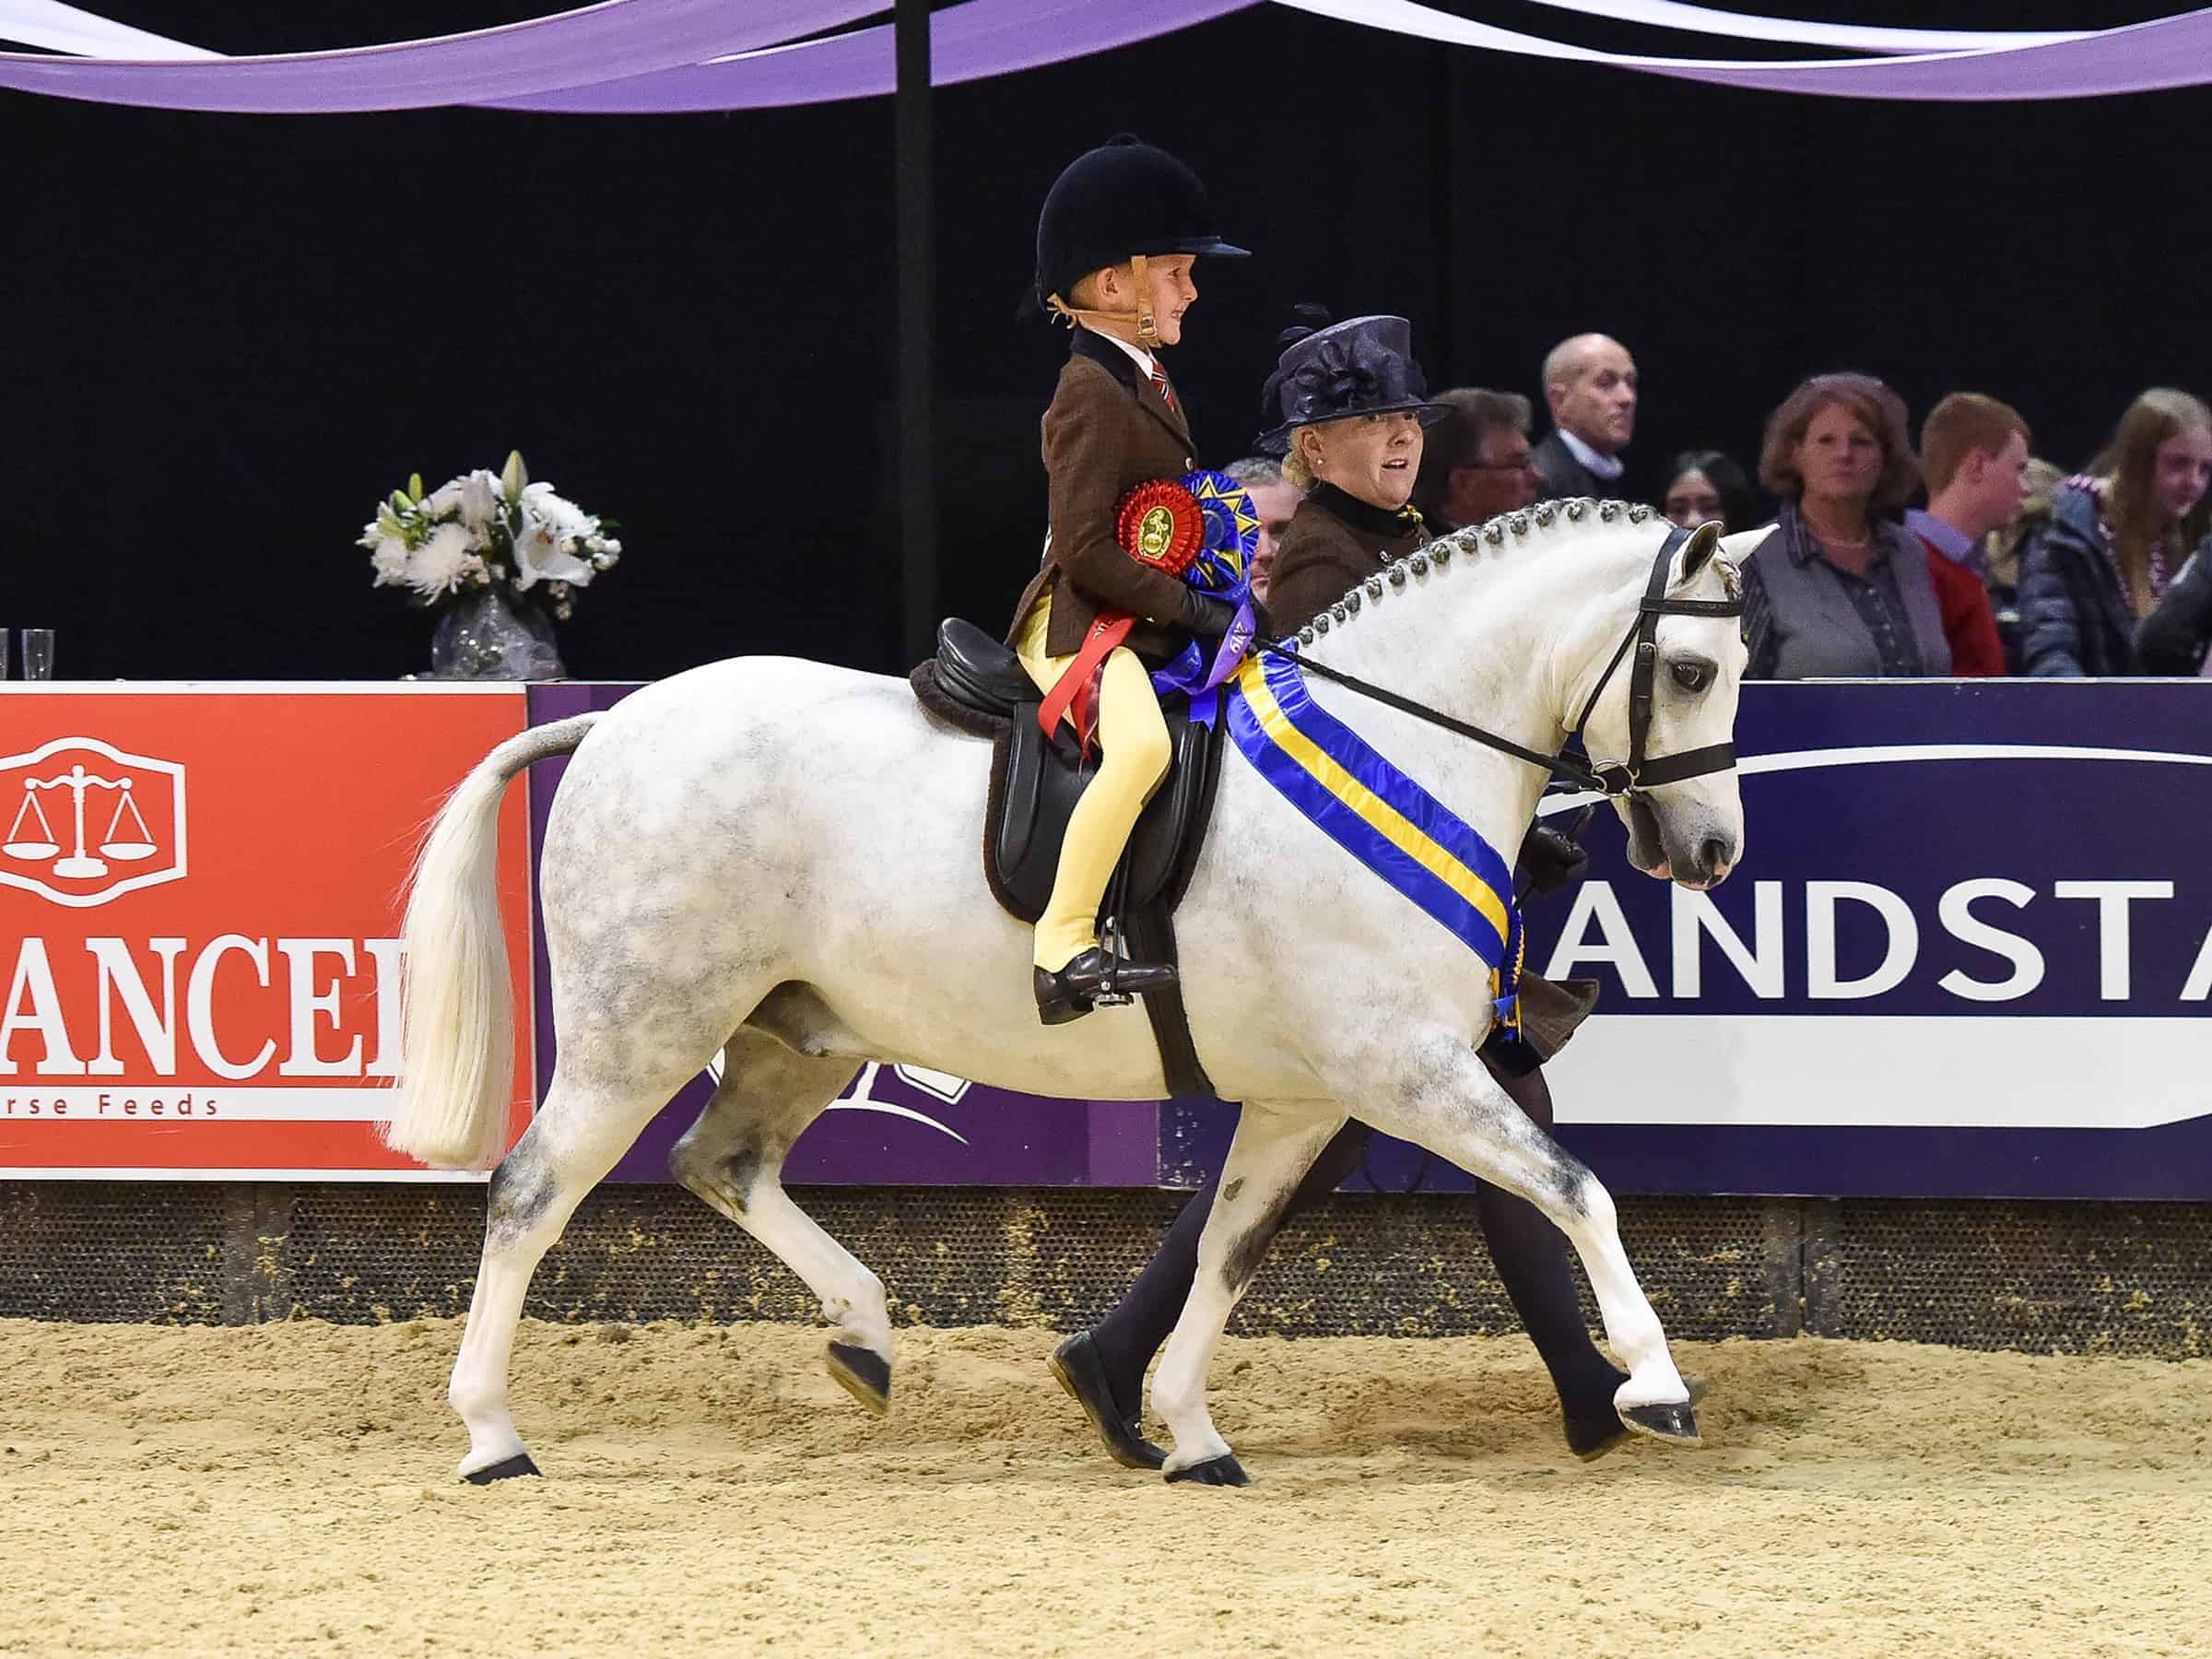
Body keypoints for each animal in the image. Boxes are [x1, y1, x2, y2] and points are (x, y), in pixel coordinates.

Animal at [389, 500, 1751, 1486]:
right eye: (1688, 670)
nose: (1711, 853)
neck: (1395, 751)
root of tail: (615, 725)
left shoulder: (1310, 1100)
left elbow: (1230, 1251)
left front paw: (1189, 1433)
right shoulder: (1407, 1071)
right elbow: (1574, 1188)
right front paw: (1654, 1384)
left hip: (800, 1036)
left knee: (721, 1164)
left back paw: (866, 1340)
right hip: (641, 1028)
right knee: (531, 1192)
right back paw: (494, 1438)